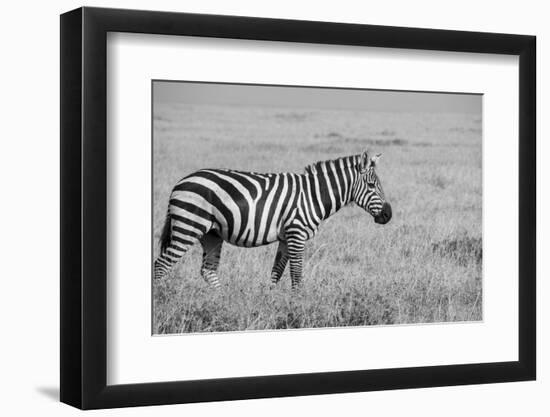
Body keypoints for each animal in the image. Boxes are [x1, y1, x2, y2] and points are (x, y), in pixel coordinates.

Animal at [154, 150, 392, 290]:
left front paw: (271, 301)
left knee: (208, 270)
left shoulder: (286, 237)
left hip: (211, 233)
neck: (313, 195)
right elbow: (296, 275)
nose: (388, 215)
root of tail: (180, 182)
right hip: (189, 226)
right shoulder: (296, 233)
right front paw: (297, 307)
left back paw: (222, 304)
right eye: (372, 185)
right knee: (161, 265)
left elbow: (276, 273)